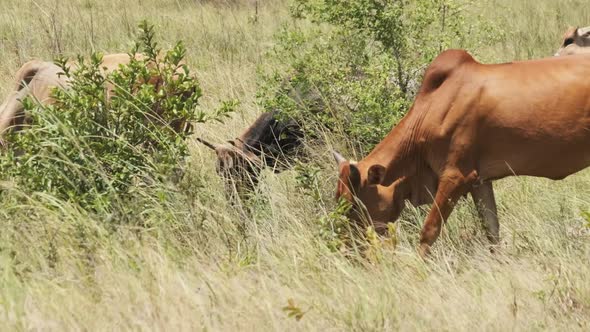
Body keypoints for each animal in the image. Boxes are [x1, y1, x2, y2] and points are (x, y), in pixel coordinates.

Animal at [336, 49, 590, 256]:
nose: (347, 249)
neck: (432, 108)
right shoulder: (480, 182)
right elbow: (492, 230)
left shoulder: (456, 176)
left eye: (352, 205)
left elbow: (429, 231)